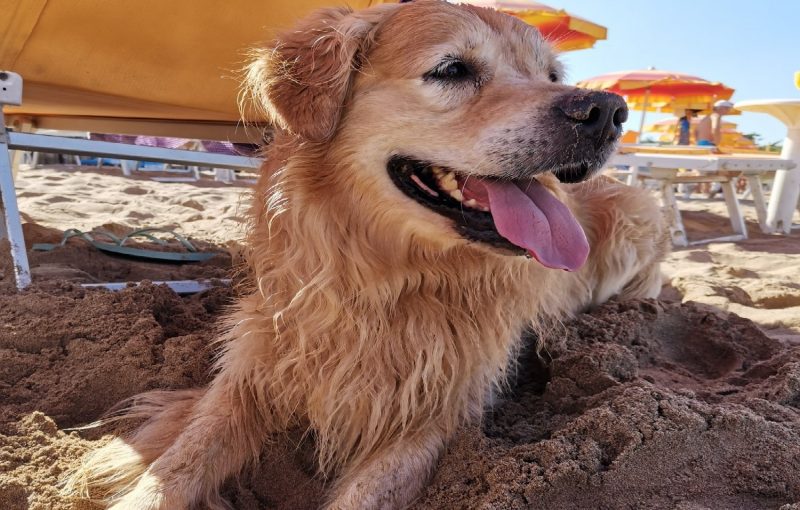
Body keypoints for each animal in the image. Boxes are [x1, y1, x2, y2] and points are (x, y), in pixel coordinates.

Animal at [67, 1, 668, 508]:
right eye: (452, 70)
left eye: (552, 77)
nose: (609, 110)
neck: (382, 280)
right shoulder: (250, 370)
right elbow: (177, 463)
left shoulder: (435, 413)